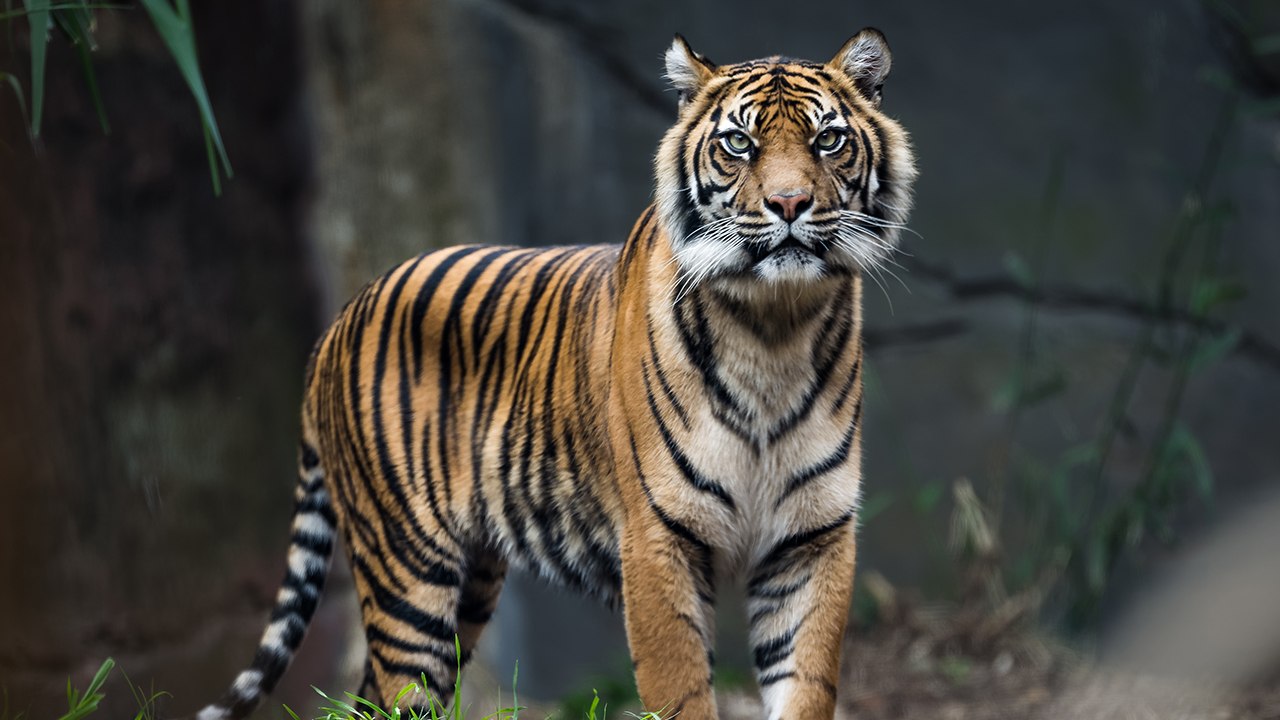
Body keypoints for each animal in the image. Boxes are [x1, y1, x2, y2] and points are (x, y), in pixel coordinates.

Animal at [195, 27, 915, 720]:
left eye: (828, 140)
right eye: (739, 143)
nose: (789, 203)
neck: (774, 327)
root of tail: (336, 324)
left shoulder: (812, 541)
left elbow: (806, 686)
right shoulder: (657, 543)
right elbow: (682, 692)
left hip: (471, 584)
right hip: (407, 572)